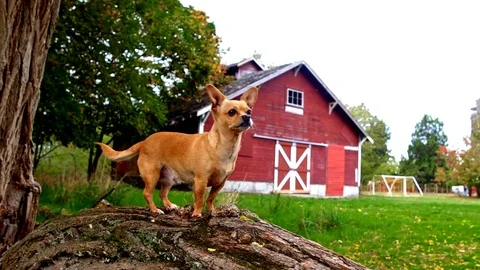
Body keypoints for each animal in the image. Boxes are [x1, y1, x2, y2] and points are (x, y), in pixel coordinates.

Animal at [95, 84, 256, 217]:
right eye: (232, 112)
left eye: (249, 111)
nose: (247, 117)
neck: (224, 146)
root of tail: (145, 141)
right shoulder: (201, 180)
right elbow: (200, 199)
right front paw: (197, 213)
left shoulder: (220, 183)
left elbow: (210, 198)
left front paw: (211, 212)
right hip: (152, 175)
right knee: (147, 193)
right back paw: (155, 210)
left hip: (168, 178)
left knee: (162, 193)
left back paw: (169, 206)